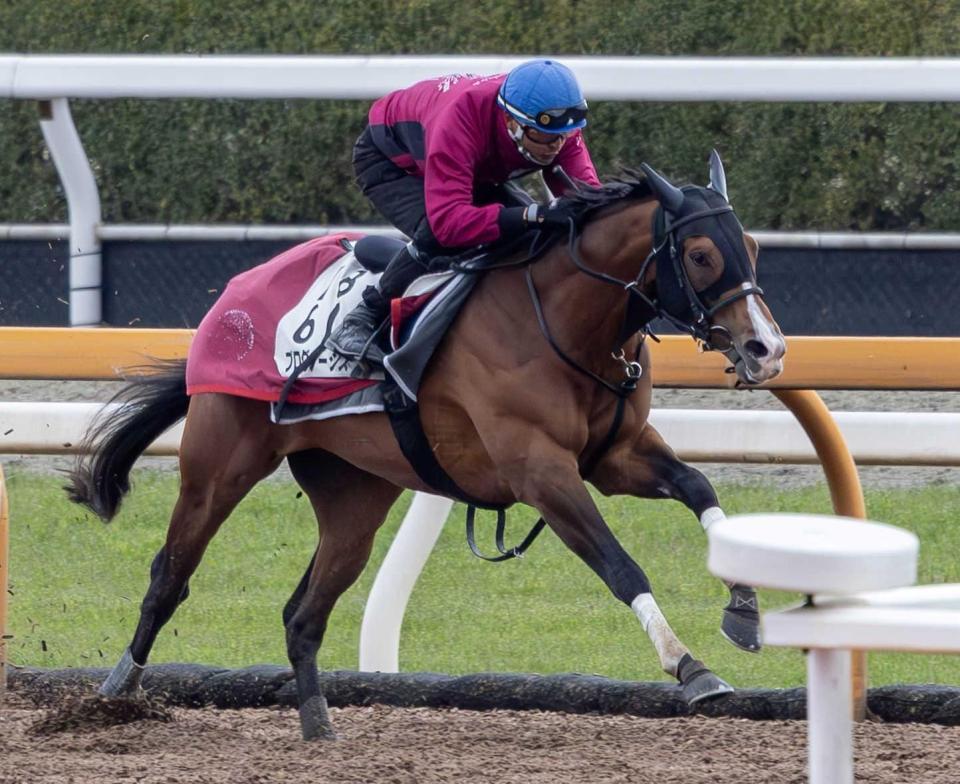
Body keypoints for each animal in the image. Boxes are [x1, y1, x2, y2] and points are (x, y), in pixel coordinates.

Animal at [69, 149, 788, 740]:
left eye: (752, 246)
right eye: (700, 253)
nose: (767, 349)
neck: (564, 322)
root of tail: (231, 300)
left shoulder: (615, 456)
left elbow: (699, 486)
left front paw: (744, 609)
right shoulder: (541, 472)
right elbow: (621, 566)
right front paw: (689, 666)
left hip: (354, 496)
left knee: (303, 614)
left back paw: (318, 724)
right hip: (221, 464)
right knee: (169, 578)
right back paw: (116, 692)